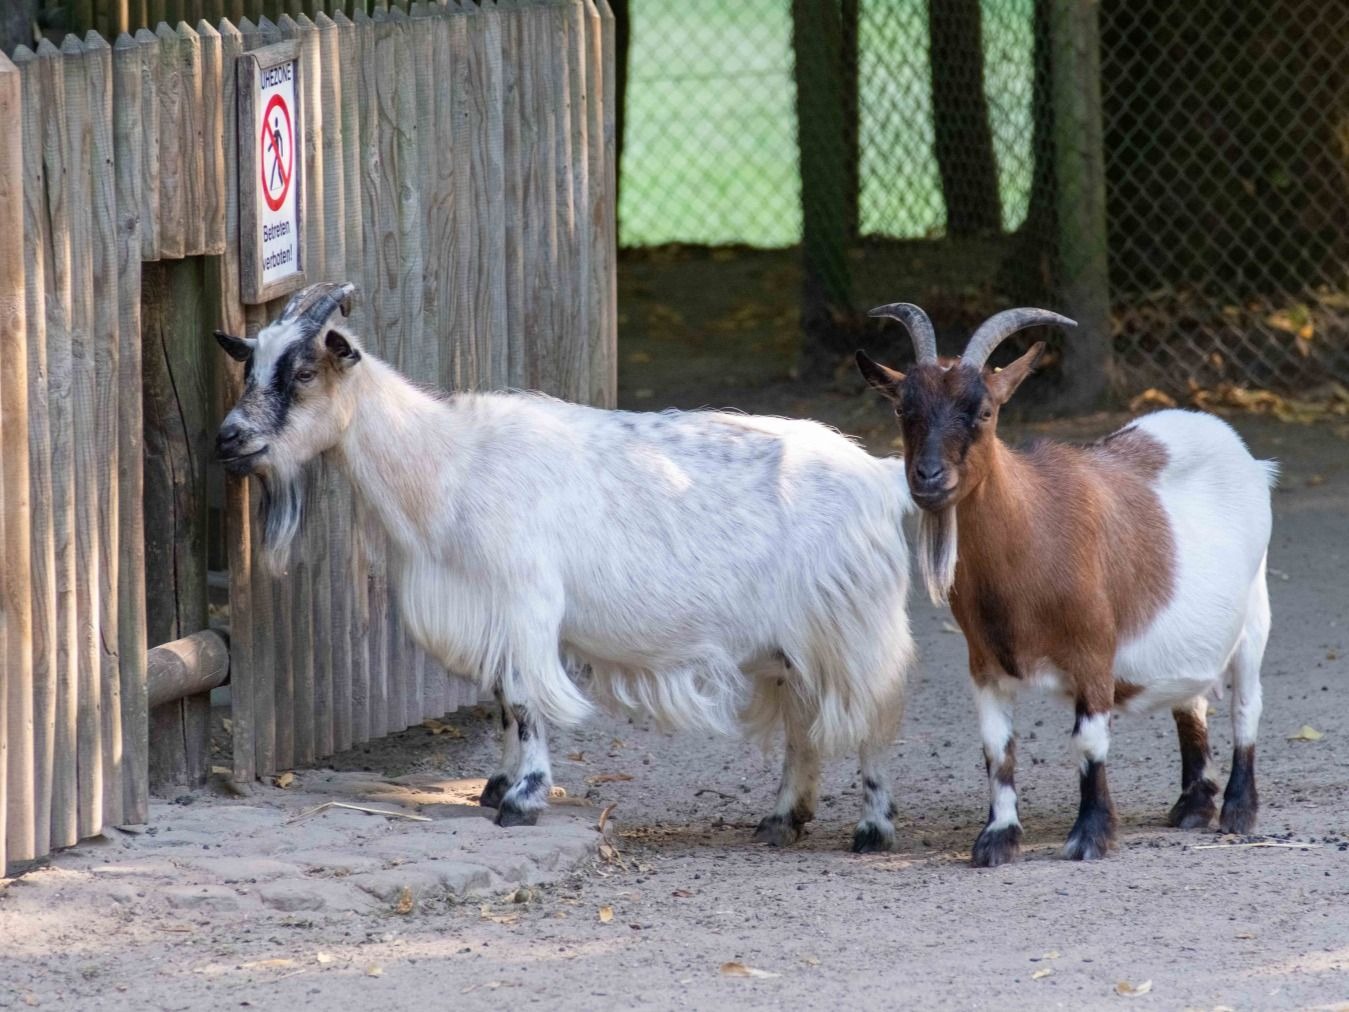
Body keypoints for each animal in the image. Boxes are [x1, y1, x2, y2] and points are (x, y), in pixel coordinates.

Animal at [215, 282, 917, 852]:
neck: (449, 465)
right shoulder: (489, 611)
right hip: (794, 643)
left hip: (855, 625)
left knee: (874, 717)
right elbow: (502, 698)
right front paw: (497, 786)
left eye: (306, 370)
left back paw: (872, 829)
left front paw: (523, 800)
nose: (228, 437)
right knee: (804, 722)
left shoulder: (523, 602)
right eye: (250, 363)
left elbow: (526, 697)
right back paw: (781, 819)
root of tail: (881, 476)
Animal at [857, 304, 1274, 865]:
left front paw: (1090, 836)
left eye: (985, 411)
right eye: (904, 409)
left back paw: (1237, 812)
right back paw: (1191, 807)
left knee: (1245, 704)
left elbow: (1088, 742)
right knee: (1192, 701)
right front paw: (997, 838)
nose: (928, 477)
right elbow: (997, 749)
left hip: (1254, 613)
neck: (1033, 534)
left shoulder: (1094, 652)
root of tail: (1239, 451)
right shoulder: (984, 662)